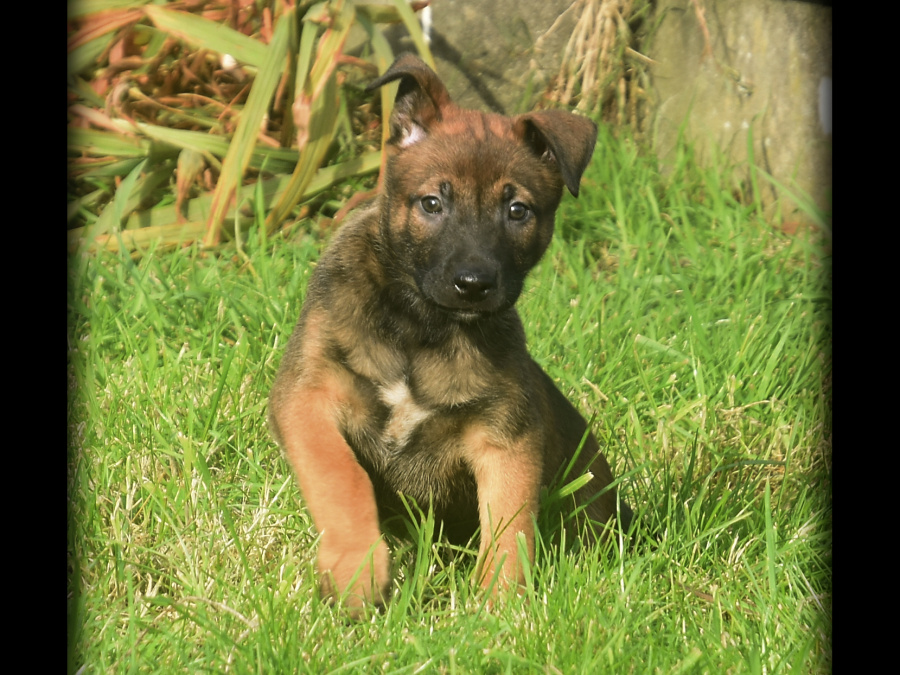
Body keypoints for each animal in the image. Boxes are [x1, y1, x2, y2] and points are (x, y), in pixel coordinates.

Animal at [268, 52, 632, 612]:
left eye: (517, 210)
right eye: (432, 204)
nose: (473, 284)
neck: (423, 327)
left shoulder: (506, 437)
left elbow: (509, 527)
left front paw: (499, 610)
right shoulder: (308, 395)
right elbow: (339, 475)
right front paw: (357, 570)